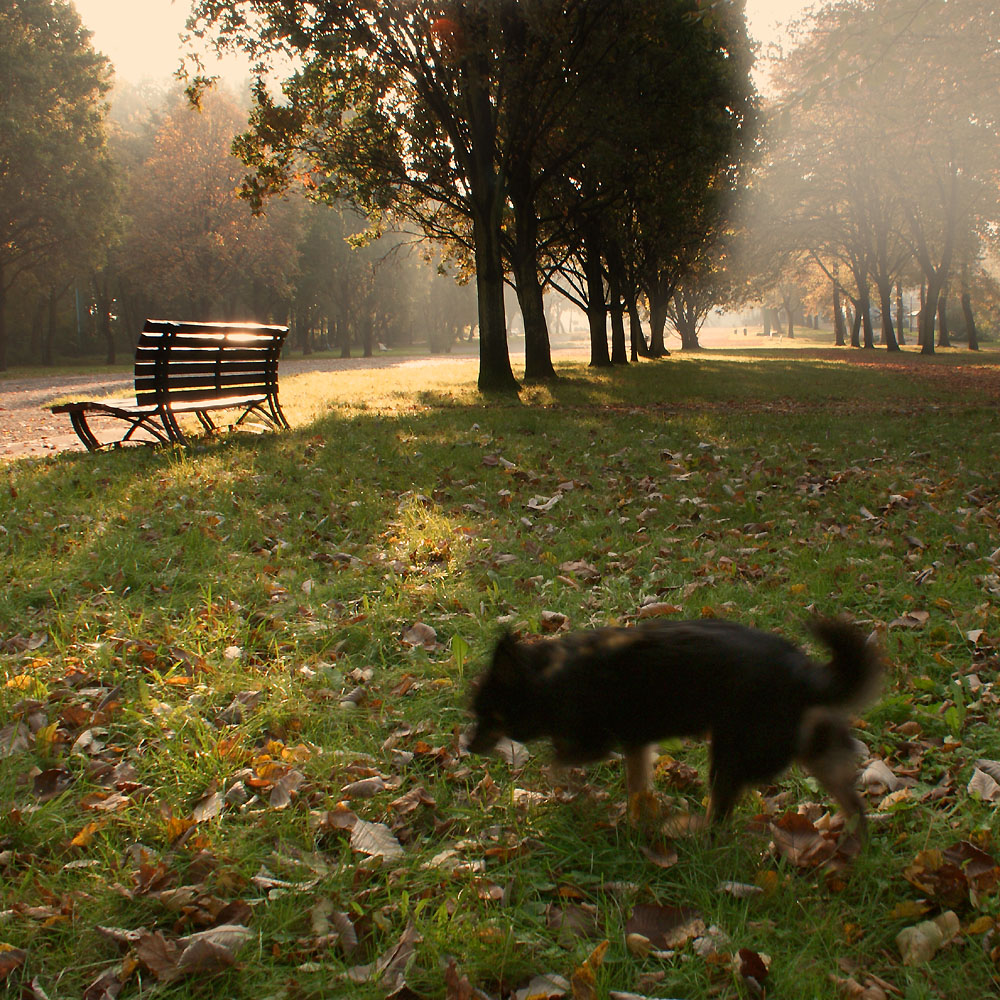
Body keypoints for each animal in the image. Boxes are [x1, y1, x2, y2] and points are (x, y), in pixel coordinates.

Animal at [464, 612, 880, 832]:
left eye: (488, 716)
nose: (467, 746)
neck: (550, 675)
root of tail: (804, 674)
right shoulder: (636, 742)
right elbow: (637, 785)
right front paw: (636, 820)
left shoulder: (595, 742)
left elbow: (555, 762)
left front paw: (568, 791)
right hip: (811, 749)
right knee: (853, 802)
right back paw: (845, 842)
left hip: (730, 755)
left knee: (719, 819)